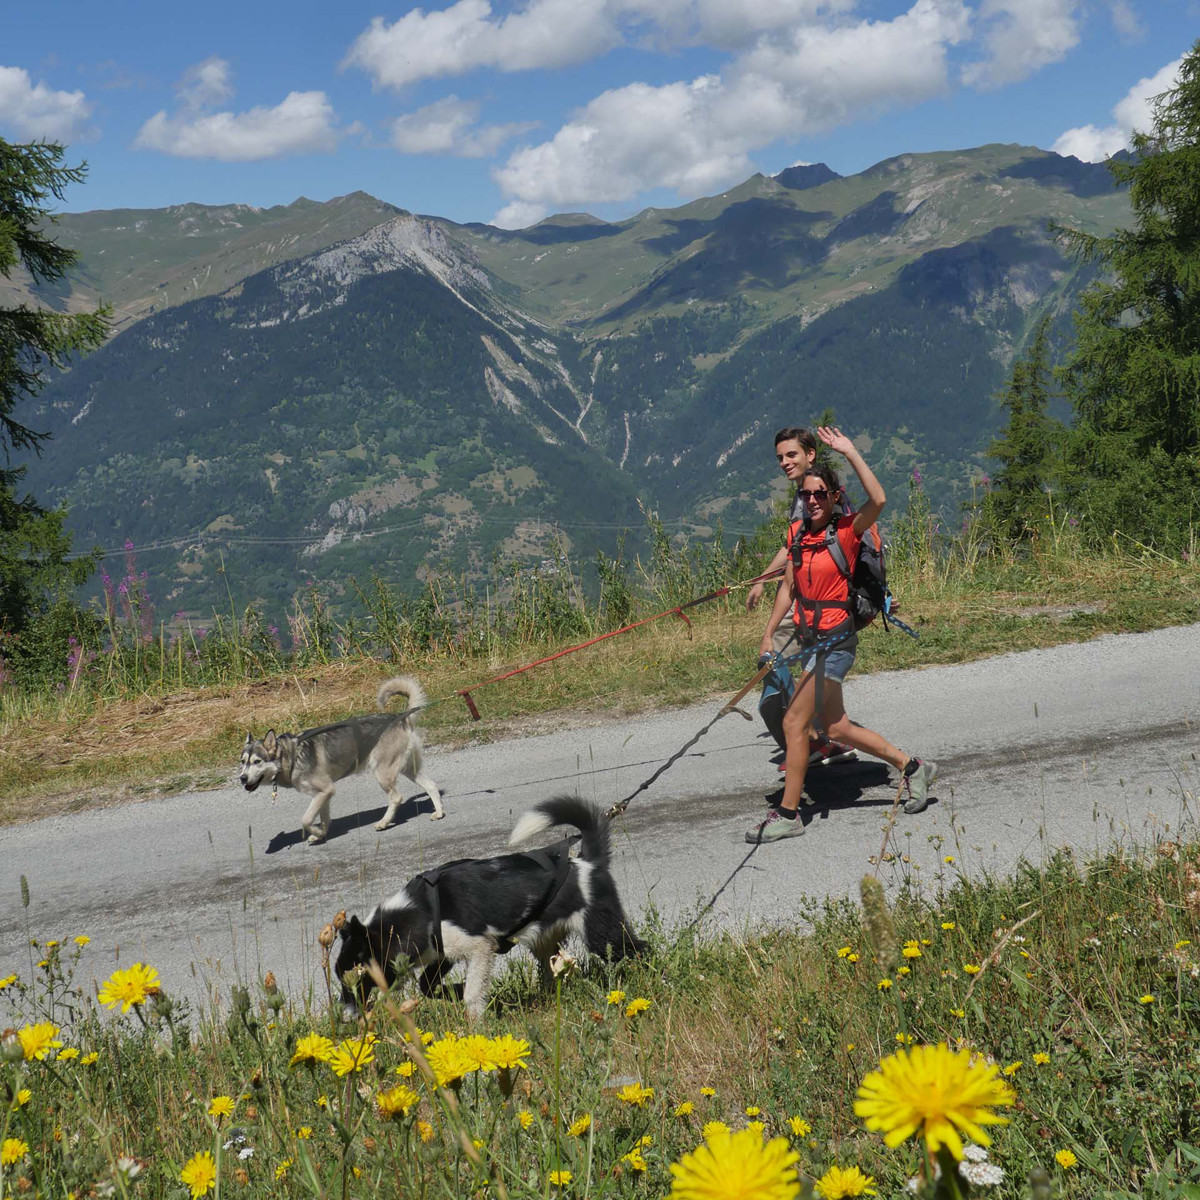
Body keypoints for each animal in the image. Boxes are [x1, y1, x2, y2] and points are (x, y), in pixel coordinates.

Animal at [333, 792, 643, 1017]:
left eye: (354, 976)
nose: (346, 1017)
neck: (420, 911)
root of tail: (588, 862)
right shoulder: (444, 953)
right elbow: (427, 986)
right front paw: (454, 991)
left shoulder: (480, 948)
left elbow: (472, 994)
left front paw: (475, 1021)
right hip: (545, 942)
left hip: (604, 934)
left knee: (639, 950)